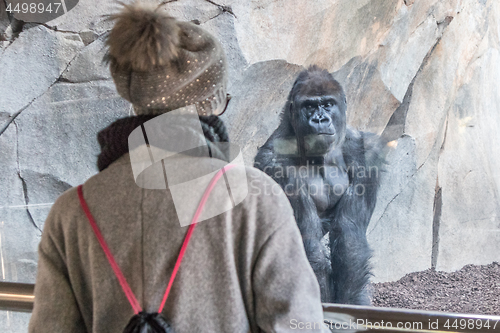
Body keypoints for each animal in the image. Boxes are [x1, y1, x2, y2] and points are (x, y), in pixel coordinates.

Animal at [254, 65, 386, 304]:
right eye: (309, 106)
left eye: (327, 104)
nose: (320, 119)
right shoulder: (272, 163)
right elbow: (308, 244)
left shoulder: (363, 150)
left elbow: (349, 234)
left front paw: (351, 304)